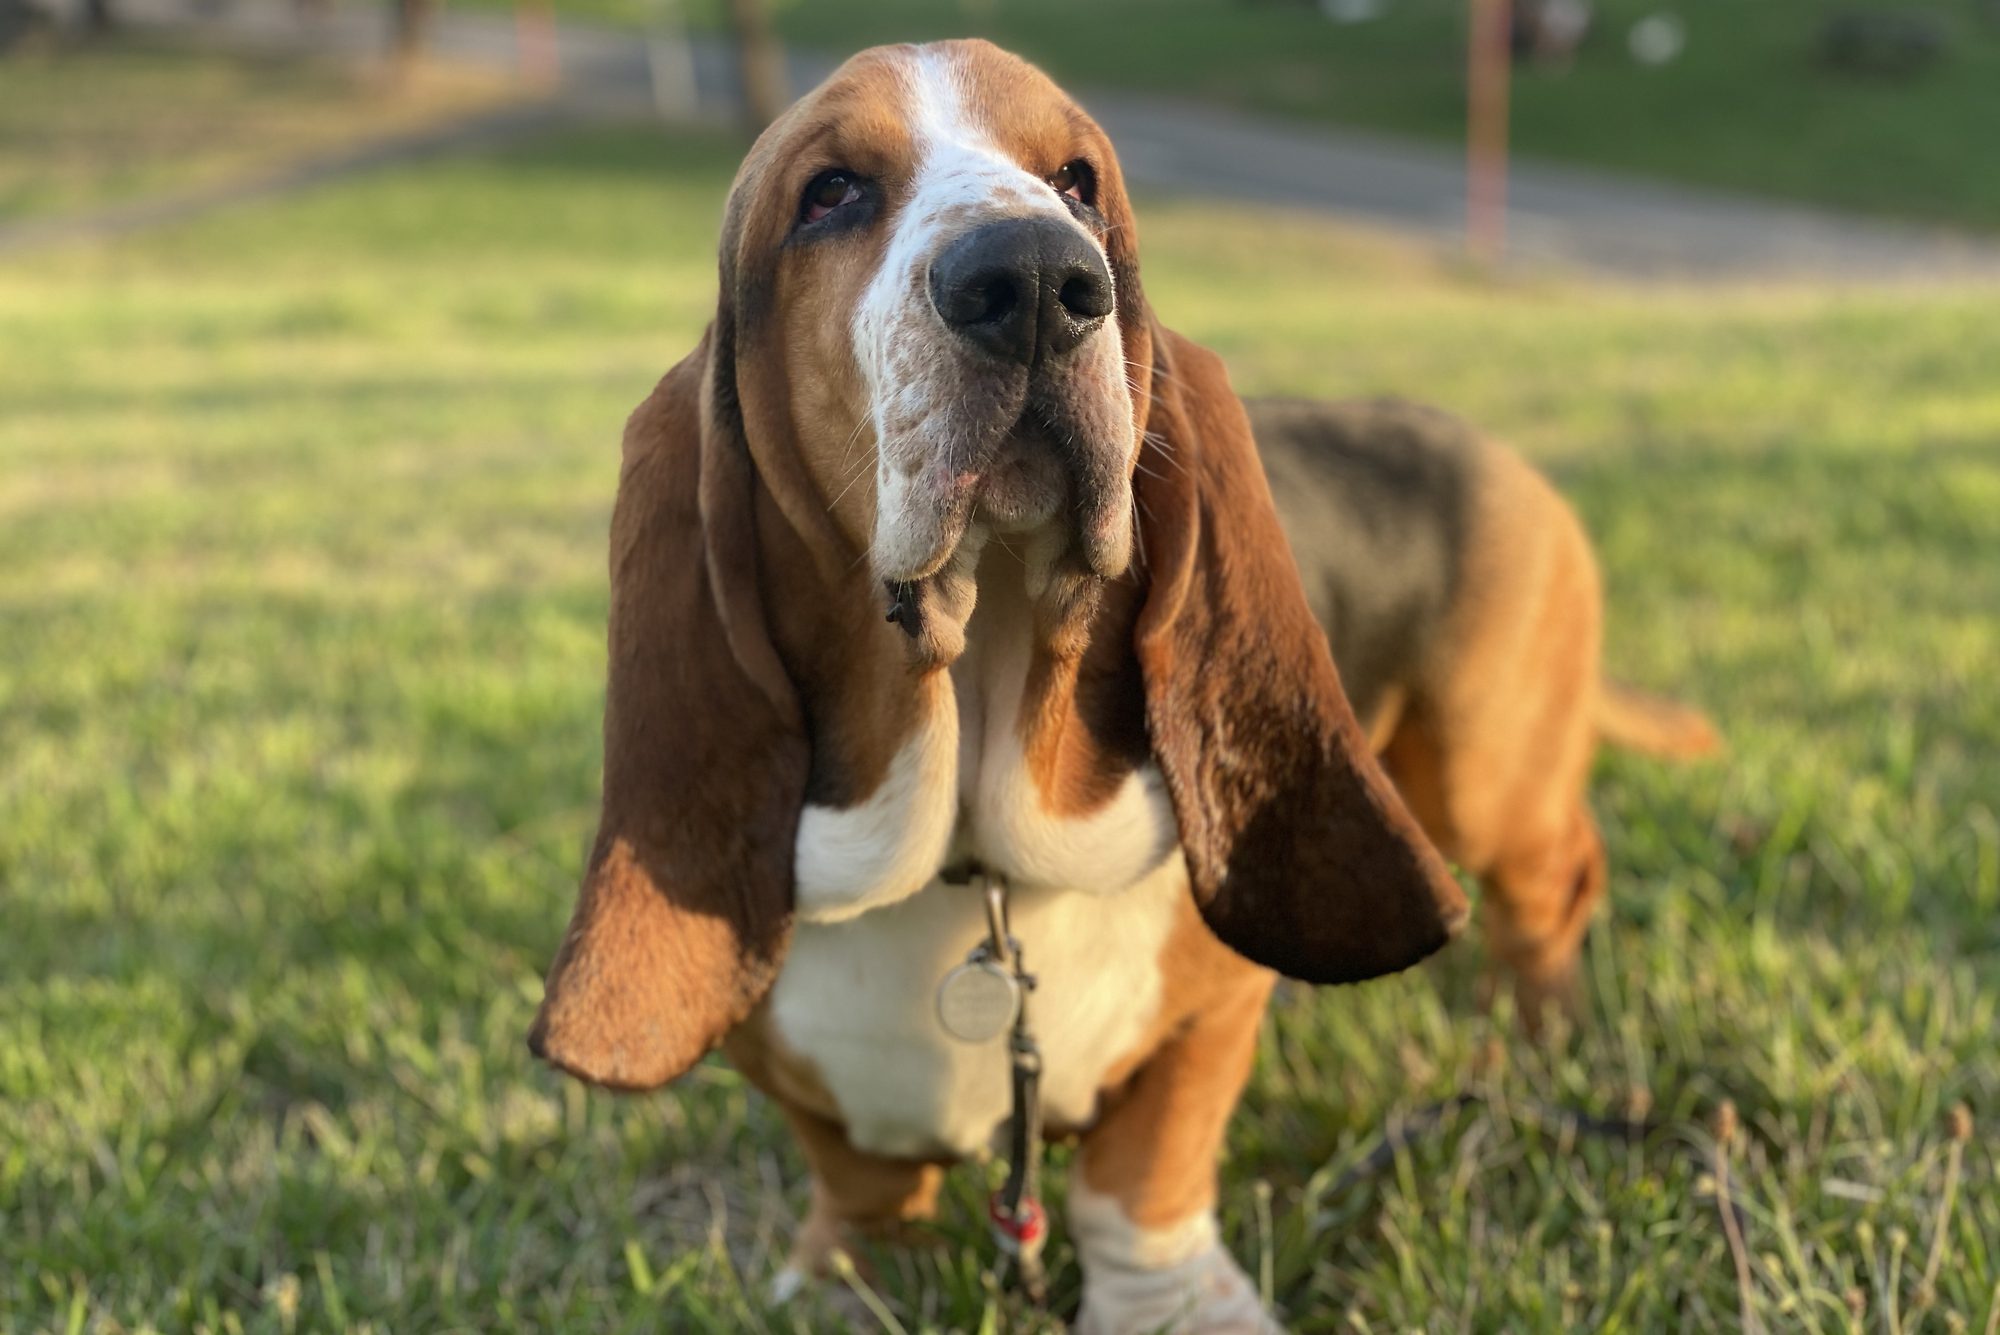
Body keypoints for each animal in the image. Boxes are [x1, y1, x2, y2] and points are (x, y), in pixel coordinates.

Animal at [528, 36, 1720, 1327]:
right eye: (829, 192)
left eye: (1077, 181)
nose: (1035, 277)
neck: (974, 854)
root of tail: (1493, 451)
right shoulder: (797, 1074)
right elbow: (856, 1172)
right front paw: (847, 1278)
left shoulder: (1205, 1024)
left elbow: (1139, 1176)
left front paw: (1170, 1301)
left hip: (1478, 776)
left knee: (1555, 879)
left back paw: (1536, 1036)